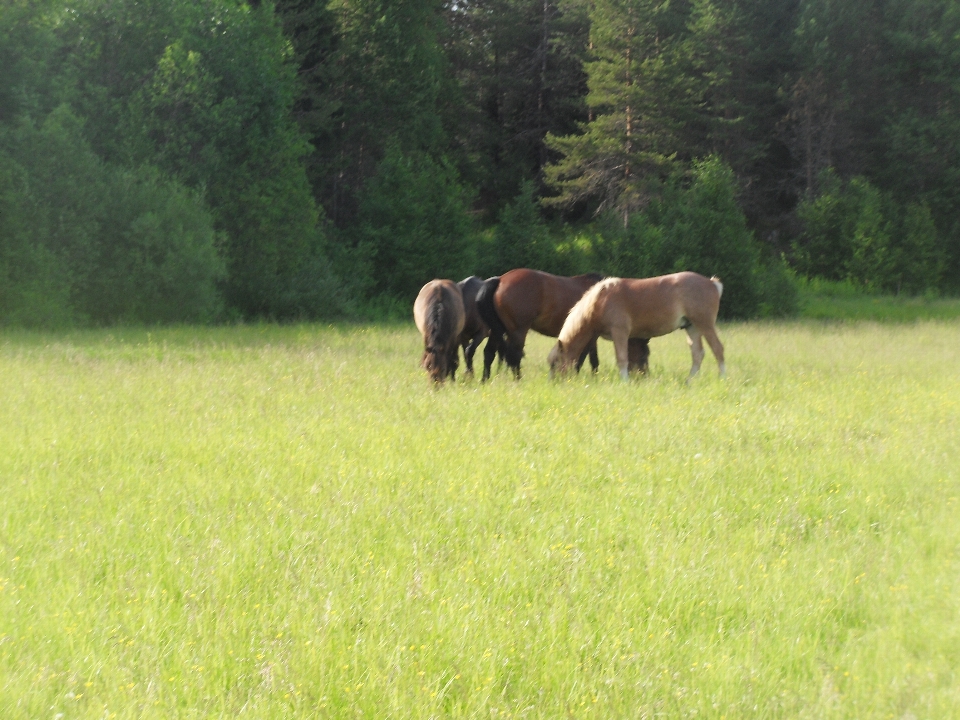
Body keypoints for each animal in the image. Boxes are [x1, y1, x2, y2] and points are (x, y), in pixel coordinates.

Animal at [476, 268, 604, 382]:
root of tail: (500, 279)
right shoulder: (590, 337)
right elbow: (586, 359)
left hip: (497, 330)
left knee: (489, 353)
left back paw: (484, 380)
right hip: (518, 331)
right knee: (514, 356)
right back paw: (518, 380)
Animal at [544, 272, 724, 382]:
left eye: (555, 363)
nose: (553, 383)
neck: (600, 301)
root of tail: (711, 283)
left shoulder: (620, 332)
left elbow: (622, 359)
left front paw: (624, 382)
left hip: (705, 325)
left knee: (717, 349)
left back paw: (722, 378)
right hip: (692, 328)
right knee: (697, 354)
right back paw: (689, 381)